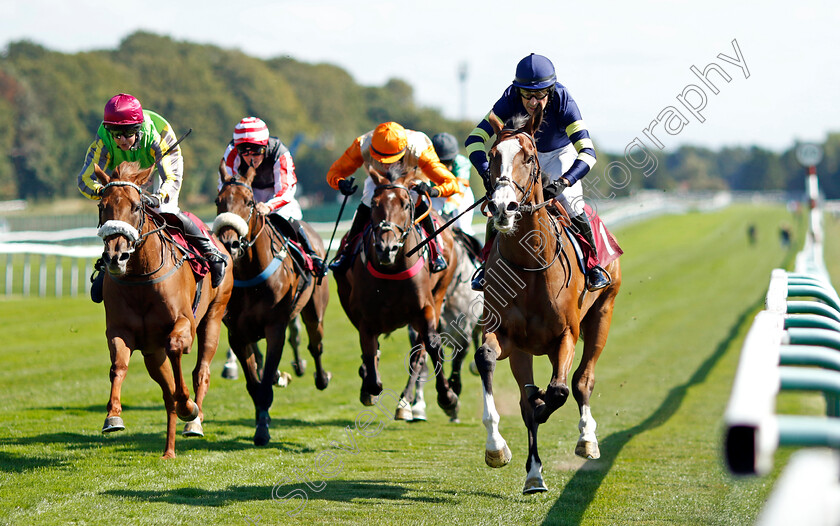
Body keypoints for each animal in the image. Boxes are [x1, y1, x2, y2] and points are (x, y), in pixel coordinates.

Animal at [93, 160, 233, 458]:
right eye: (102, 205)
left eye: (136, 206)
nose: (116, 257)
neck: (140, 277)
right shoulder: (122, 331)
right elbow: (118, 365)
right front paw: (113, 416)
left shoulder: (185, 324)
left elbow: (177, 348)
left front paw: (189, 407)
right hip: (151, 353)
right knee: (167, 393)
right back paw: (169, 450)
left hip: (214, 316)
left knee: (201, 371)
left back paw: (194, 421)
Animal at [212, 163, 330, 448]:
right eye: (218, 201)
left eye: (249, 202)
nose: (230, 243)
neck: (251, 275)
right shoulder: (237, 334)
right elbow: (255, 384)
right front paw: (260, 421)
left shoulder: (275, 328)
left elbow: (264, 385)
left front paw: (262, 432)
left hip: (314, 310)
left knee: (315, 344)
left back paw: (321, 378)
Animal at [332, 173, 460, 420]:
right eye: (374, 205)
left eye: (406, 205)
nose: (386, 248)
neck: (392, 270)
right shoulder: (364, 317)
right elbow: (370, 355)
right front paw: (369, 386)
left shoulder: (425, 308)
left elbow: (431, 345)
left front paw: (448, 397)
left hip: (439, 295)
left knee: (419, 354)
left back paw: (406, 402)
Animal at [472, 109, 624, 498]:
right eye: (493, 155)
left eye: (529, 157)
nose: (502, 207)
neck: (529, 264)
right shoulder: (505, 336)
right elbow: (489, 363)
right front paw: (497, 448)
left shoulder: (565, 334)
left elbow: (558, 391)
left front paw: (546, 401)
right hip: (524, 350)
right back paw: (534, 476)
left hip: (603, 313)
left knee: (583, 380)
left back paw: (587, 440)